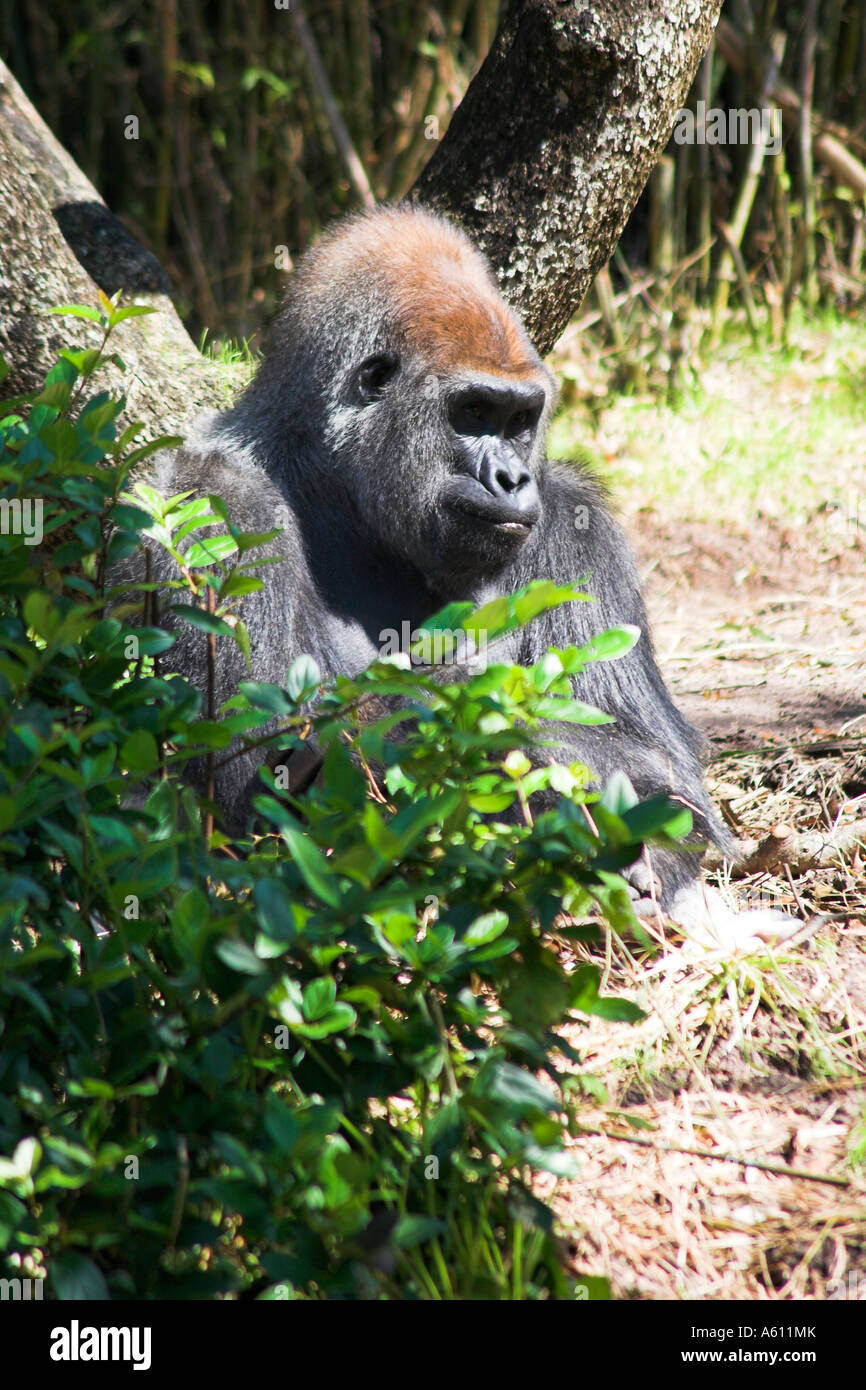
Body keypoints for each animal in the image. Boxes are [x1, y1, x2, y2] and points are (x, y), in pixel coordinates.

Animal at [134, 202, 795, 945]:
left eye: (519, 419)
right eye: (474, 412)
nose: (512, 478)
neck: (334, 490)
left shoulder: (577, 523)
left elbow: (670, 771)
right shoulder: (214, 499)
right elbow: (246, 764)